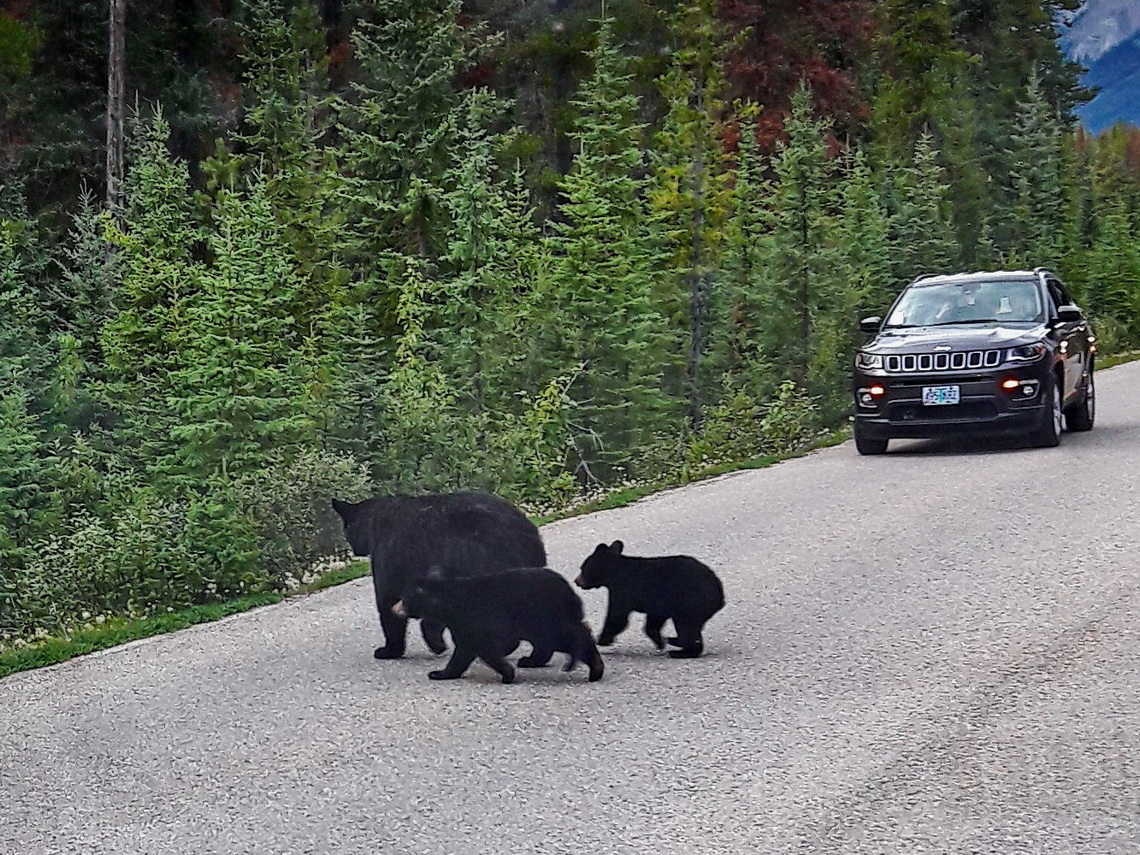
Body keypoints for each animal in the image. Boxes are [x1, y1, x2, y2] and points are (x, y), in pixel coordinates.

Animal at [330, 492, 547, 661]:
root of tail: (528, 534)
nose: (352, 547)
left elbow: (387, 603)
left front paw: (390, 649)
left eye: (346, 529)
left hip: (481, 559)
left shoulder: (390, 558)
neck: (376, 525)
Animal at [392, 572, 606, 688]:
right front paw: (441, 673)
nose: (394, 608)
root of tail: (569, 592)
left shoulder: (470, 619)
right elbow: (465, 651)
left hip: (541, 615)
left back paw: (590, 666)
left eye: (404, 598)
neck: (448, 603)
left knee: (567, 635)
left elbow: (478, 647)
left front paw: (507, 674)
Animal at [574, 544, 725, 661]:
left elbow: (617, 617)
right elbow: (653, 621)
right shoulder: (659, 603)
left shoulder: (623, 589)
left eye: (582, 568)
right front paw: (660, 642)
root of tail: (720, 594)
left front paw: (601, 640)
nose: (576, 581)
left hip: (690, 602)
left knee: (686, 626)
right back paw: (674, 641)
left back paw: (680, 651)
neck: (615, 572)